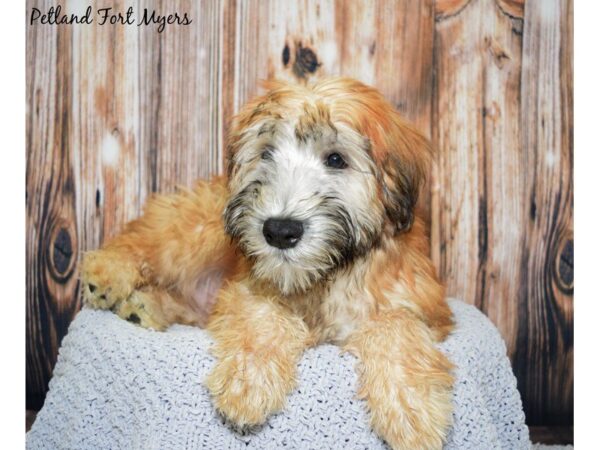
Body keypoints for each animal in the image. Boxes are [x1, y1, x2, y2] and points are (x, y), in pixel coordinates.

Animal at [81, 77, 454, 450]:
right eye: (267, 154)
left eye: (335, 159)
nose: (280, 230)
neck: (326, 274)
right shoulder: (244, 288)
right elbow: (263, 314)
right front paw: (248, 382)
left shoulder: (427, 308)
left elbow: (396, 324)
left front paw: (412, 408)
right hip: (198, 229)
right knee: (148, 239)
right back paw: (107, 272)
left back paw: (144, 307)